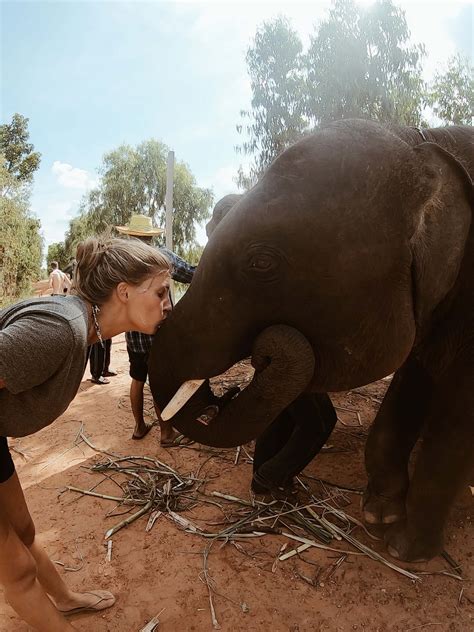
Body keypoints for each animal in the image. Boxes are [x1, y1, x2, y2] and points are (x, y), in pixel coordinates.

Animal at [149, 119, 474, 564]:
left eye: (261, 263)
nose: (224, 393)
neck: (425, 143)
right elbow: (410, 383)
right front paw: (379, 514)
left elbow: (457, 415)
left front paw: (405, 549)